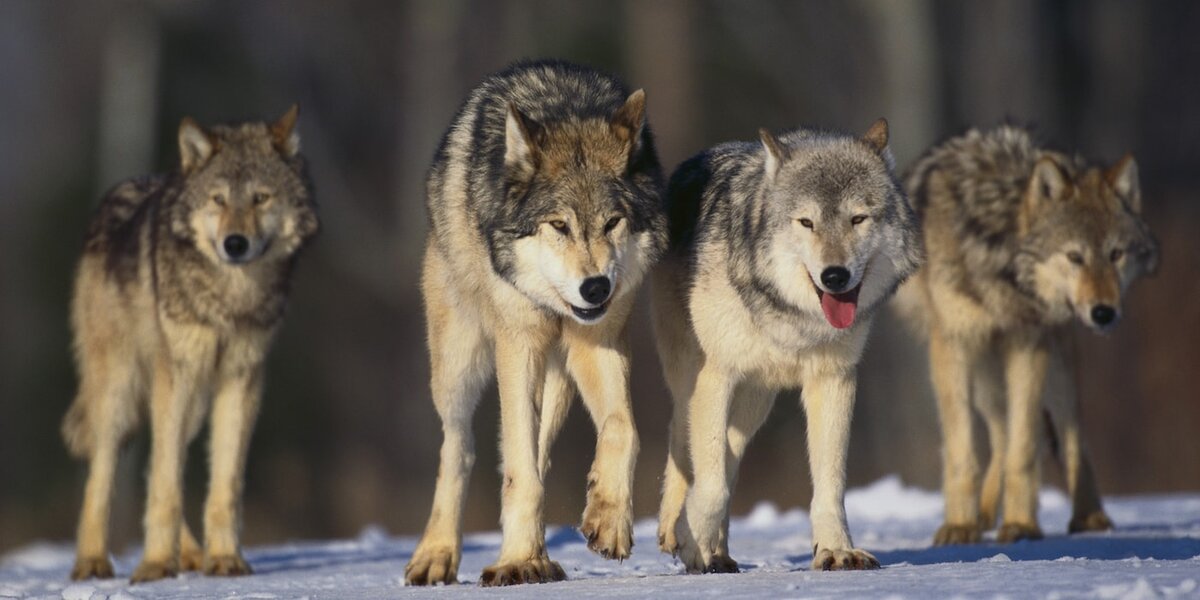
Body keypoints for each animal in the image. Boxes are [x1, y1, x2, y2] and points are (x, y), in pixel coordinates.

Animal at [60, 106, 319, 580]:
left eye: (260, 198)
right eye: (218, 200)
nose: (235, 243)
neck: (230, 298)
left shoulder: (242, 379)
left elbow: (223, 484)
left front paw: (225, 559)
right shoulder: (176, 377)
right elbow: (166, 483)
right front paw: (155, 566)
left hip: (193, 401)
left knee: (156, 462)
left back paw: (193, 555)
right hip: (122, 391)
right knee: (104, 474)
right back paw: (92, 562)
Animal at [403, 60, 667, 585]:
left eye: (613, 222)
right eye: (559, 225)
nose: (595, 288)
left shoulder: (597, 340)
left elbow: (623, 428)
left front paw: (608, 520)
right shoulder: (518, 343)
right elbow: (518, 470)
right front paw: (518, 561)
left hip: (559, 370)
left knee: (536, 449)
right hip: (459, 364)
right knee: (460, 447)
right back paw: (437, 555)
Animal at [902, 124, 1156, 547]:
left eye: (1116, 254)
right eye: (1074, 257)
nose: (1104, 312)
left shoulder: (1030, 342)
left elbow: (1024, 446)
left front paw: (1021, 525)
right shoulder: (953, 342)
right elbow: (964, 451)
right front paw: (960, 526)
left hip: (1054, 360)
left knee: (1068, 436)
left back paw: (1088, 517)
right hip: (984, 371)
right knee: (1000, 434)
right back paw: (984, 514)